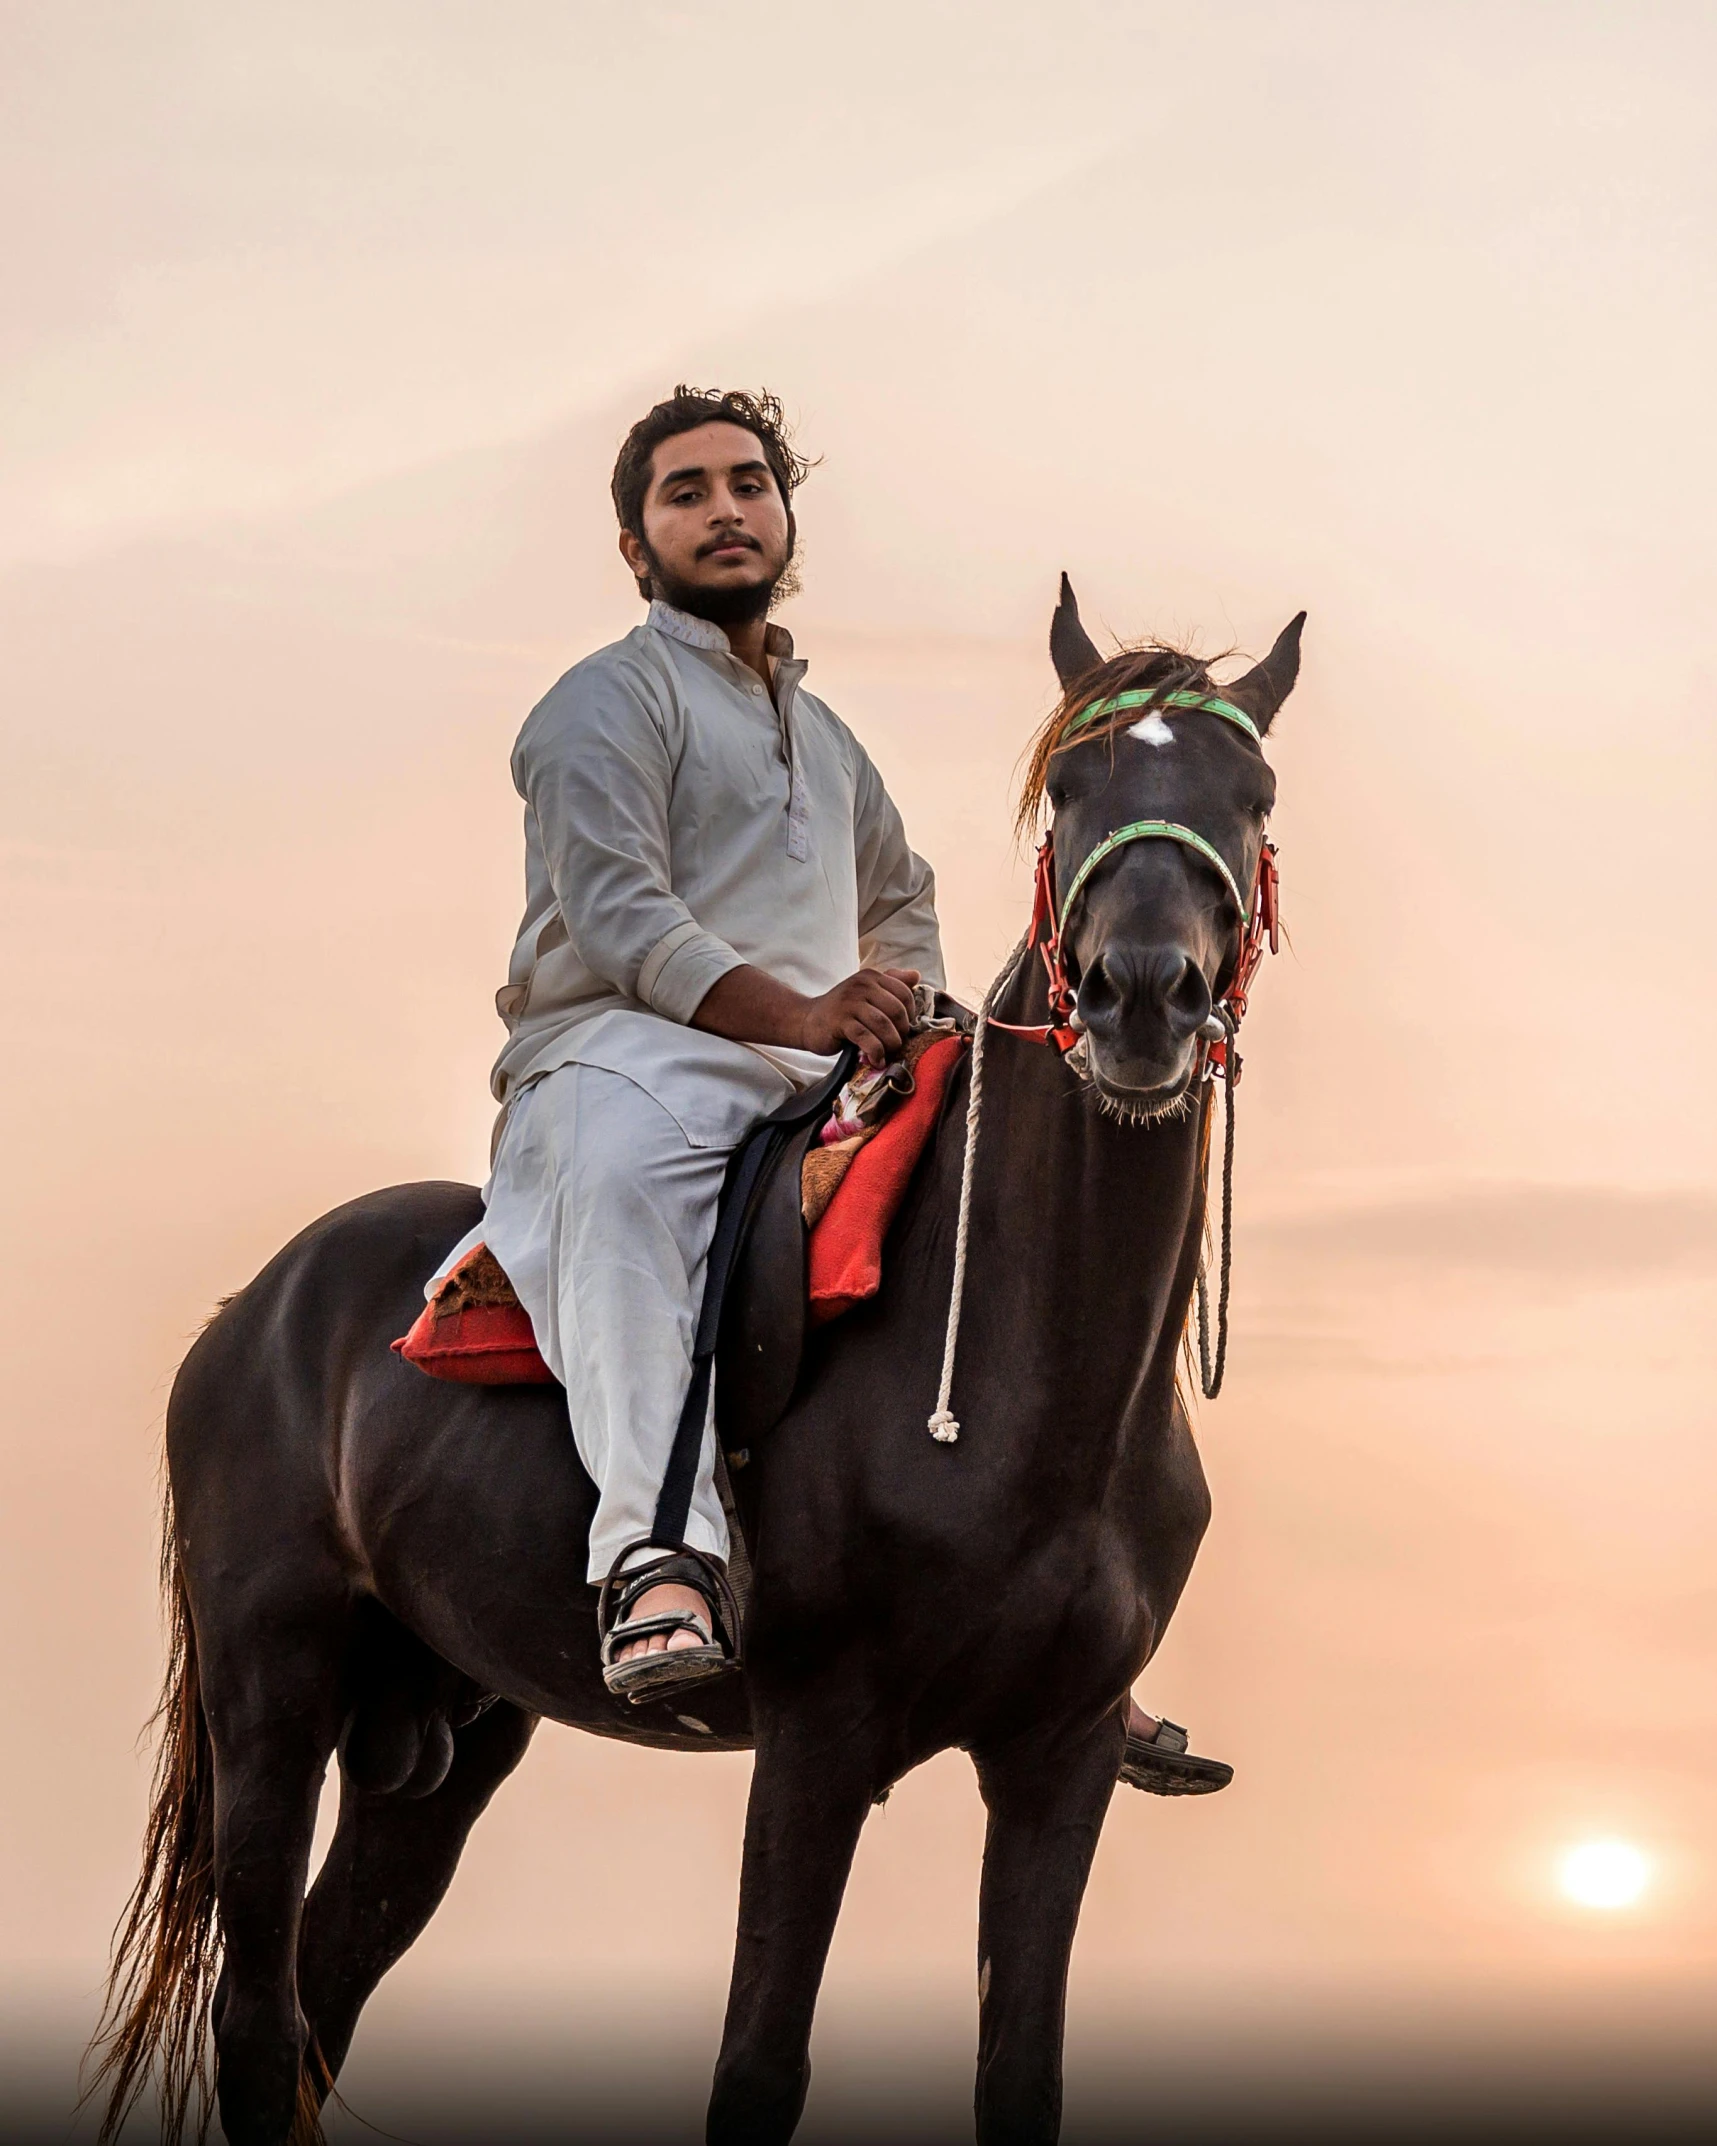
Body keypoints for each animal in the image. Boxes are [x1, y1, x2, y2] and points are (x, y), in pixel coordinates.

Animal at [90, 588, 1304, 2146]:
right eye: (1071, 793)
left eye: (1250, 793)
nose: (1140, 996)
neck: (1030, 1391)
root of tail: (249, 1313)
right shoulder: (816, 1739)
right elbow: (756, 2065)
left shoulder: (1061, 1756)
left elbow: (1018, 2074)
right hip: (273, 1689)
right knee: (256, 2021)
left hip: (436, 1744)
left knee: (318, 2001)